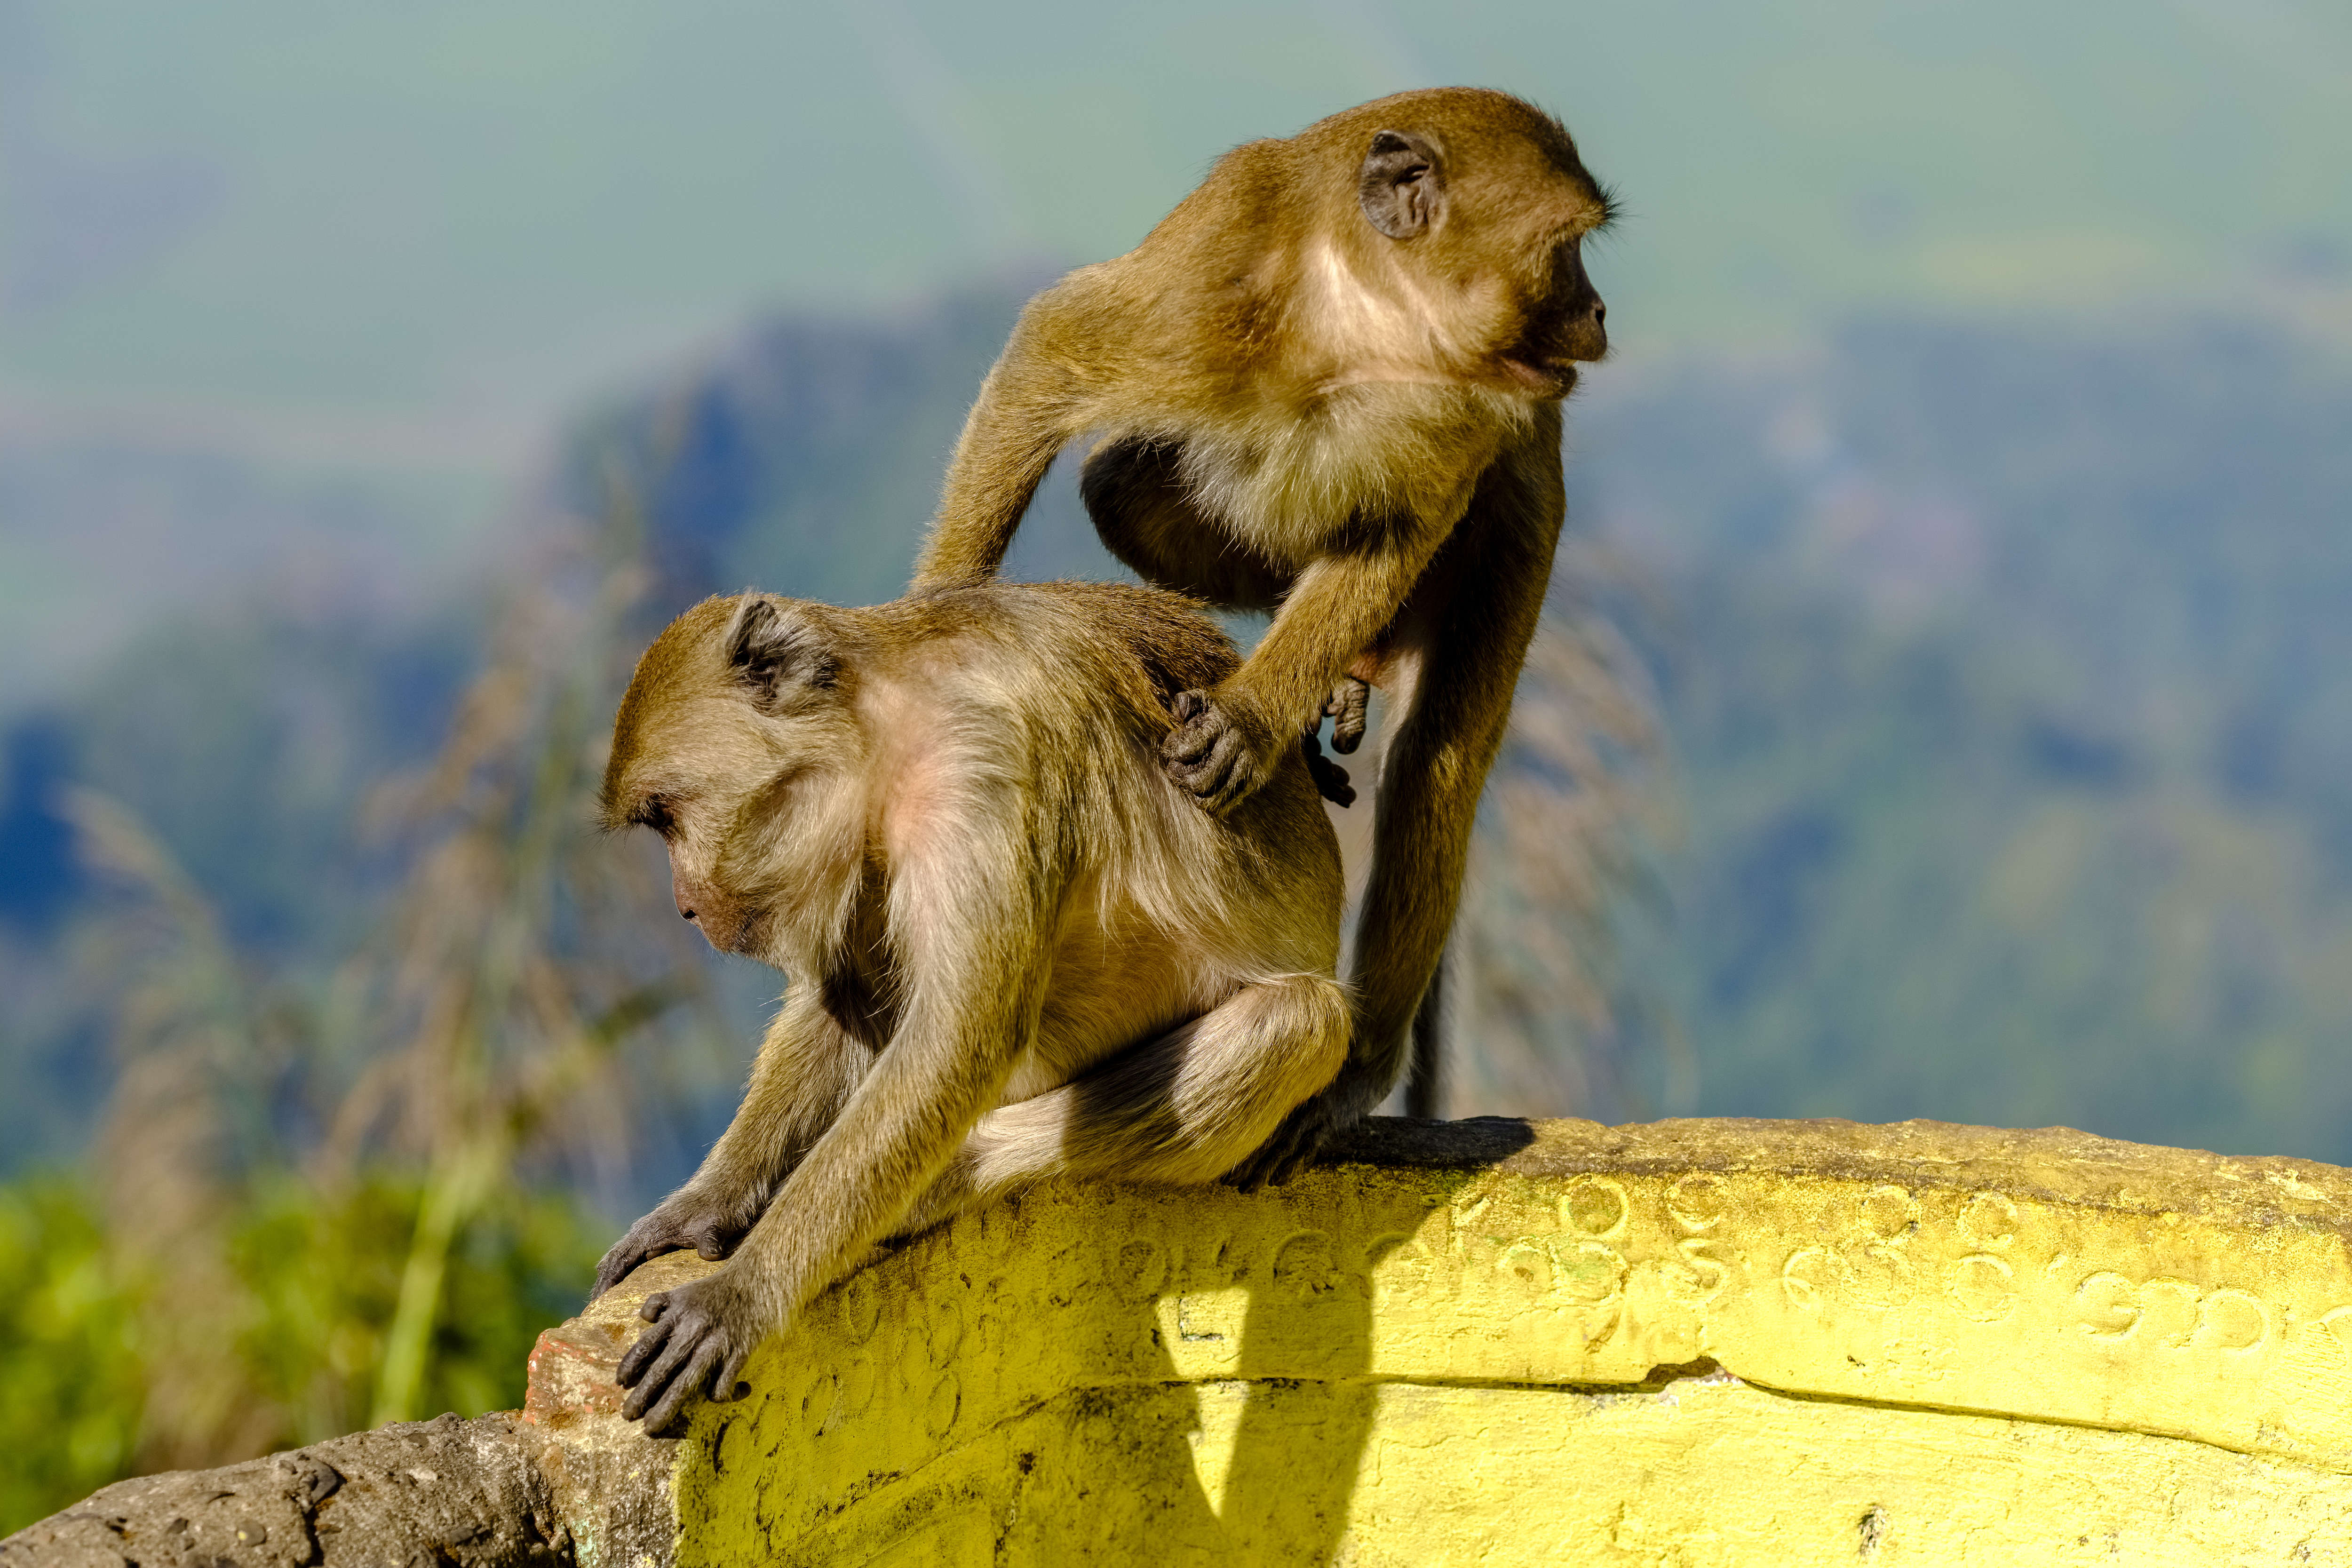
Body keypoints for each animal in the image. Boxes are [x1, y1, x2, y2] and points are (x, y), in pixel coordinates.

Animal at [597, 583, 1355, 1429]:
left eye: (666, 814)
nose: (686, 905)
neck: (895, 711)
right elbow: (850, 998)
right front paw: (705, 1205)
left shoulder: (980, 769)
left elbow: (956, 1045)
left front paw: (743, 1292)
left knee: (1300, 1023)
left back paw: (945, 1180)